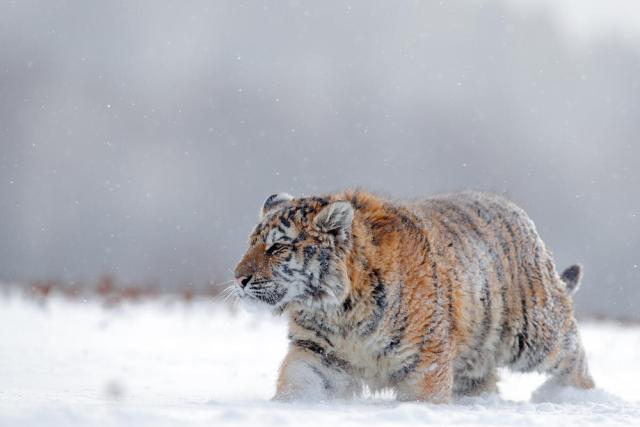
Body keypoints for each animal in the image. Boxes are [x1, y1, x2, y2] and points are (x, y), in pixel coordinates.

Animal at [231, 190, 594, 403]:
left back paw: (576, 398)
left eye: (277, 247)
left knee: (574, 354)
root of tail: (520, 214)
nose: (239, 278)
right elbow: (297, 382)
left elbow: (425, 398)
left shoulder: (425, 361)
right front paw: (285, 408)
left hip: (535, 335)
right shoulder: (318, 353)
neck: (337, 311)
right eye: (251, 243)